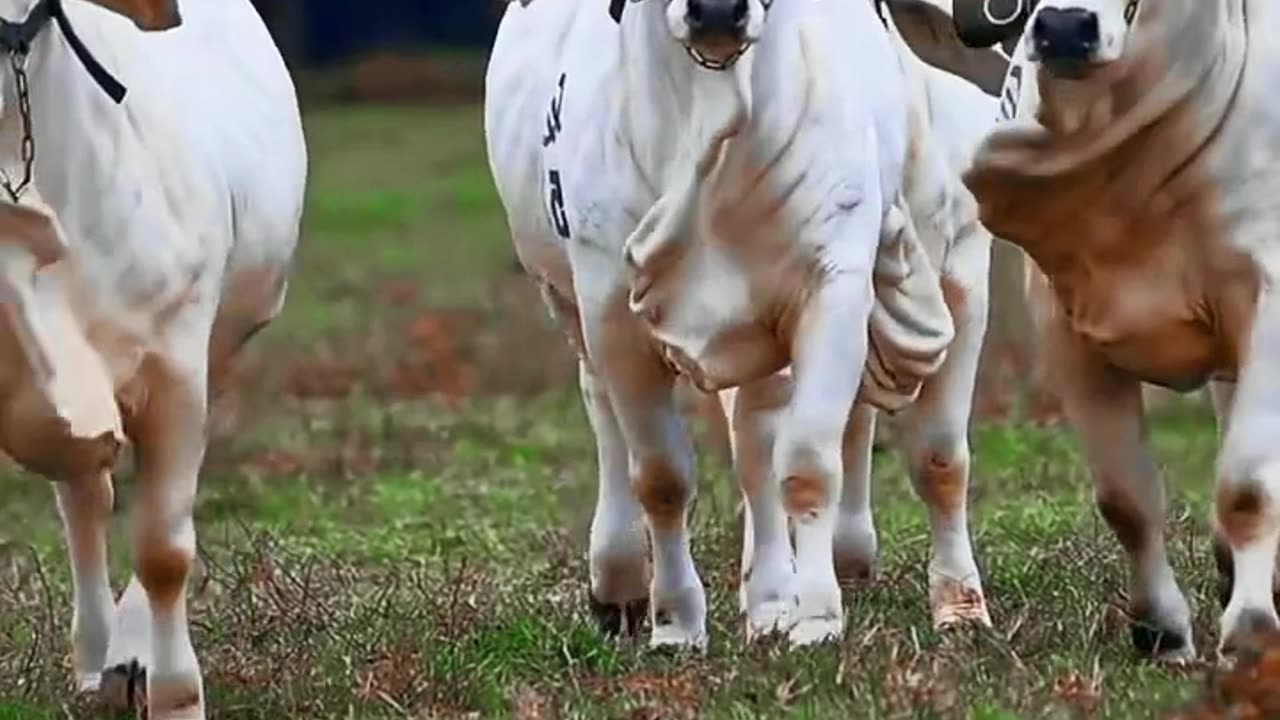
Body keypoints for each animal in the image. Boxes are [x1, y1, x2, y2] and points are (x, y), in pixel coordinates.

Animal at [483, 0, 993, 645]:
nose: (719, 11)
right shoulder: (609, 311)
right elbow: (662, 477)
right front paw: (677, 624)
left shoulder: (866, 286)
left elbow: (843, 462)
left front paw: (829, 616)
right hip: (572, 307)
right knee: (614, 421)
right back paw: (626, 585)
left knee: (769, 443)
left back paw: (793, 591)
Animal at [962, 0, 1280, 655]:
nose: (1064, 28)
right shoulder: (1067, 333)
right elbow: (1125, 499)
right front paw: (1161, 630)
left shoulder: (1267, 302)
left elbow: (1248, 485)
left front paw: (1250, 632)